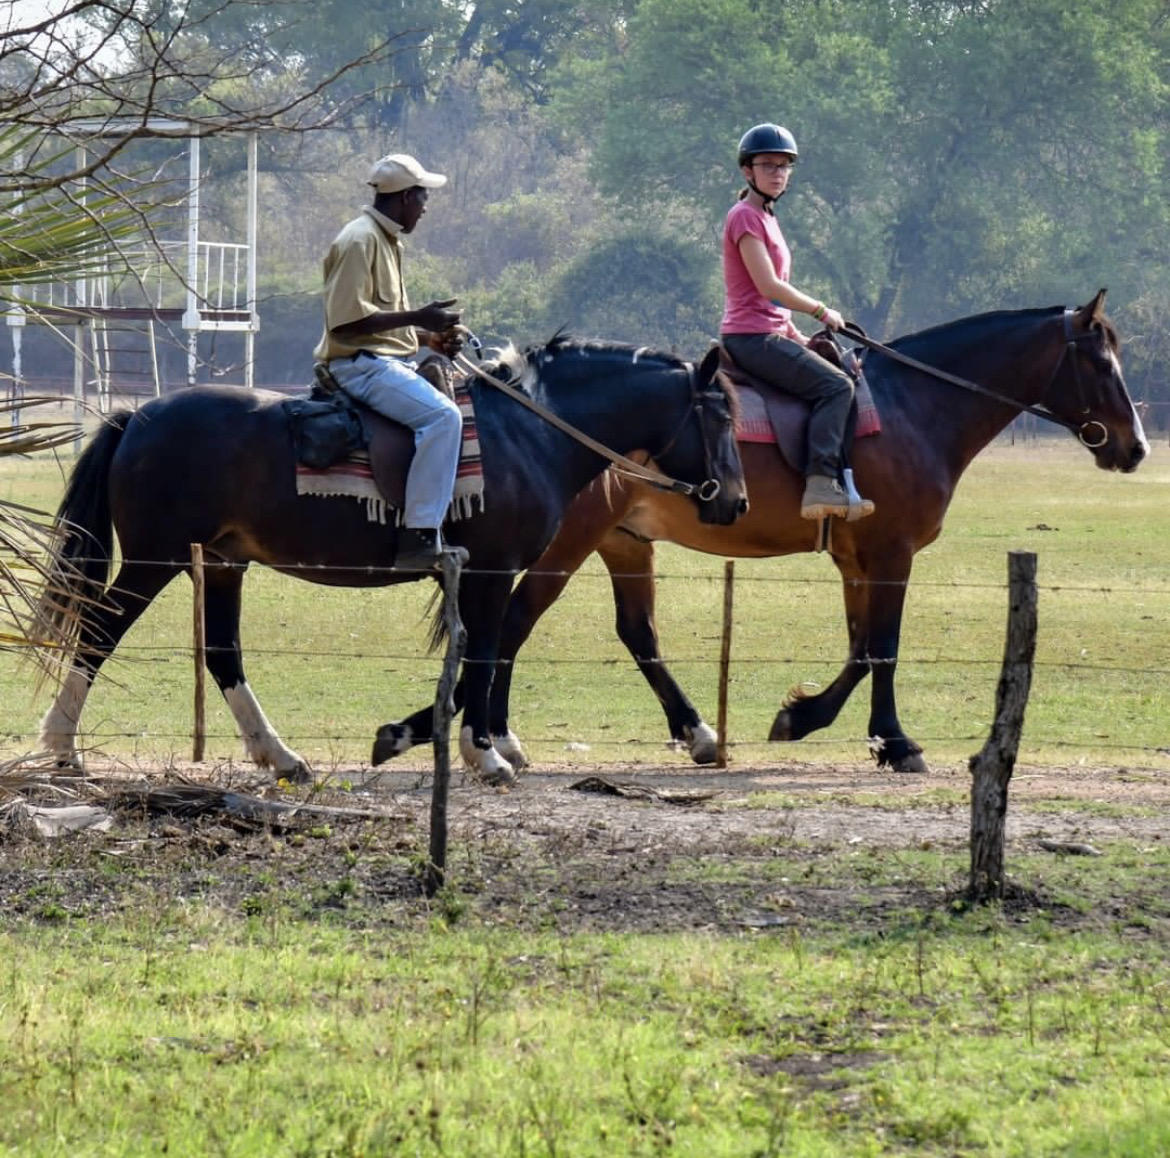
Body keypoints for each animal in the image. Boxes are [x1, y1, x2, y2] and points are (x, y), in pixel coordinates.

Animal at [34, 338, 748, 785]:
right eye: (719, 417)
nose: (735, 502)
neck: (529, 433)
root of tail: (137, 416)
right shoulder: (491, 571)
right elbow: (485, 655)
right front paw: (482, 754)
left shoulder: (484, 576)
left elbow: (480, 657)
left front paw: (436, 738)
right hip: (154, 559)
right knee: (99, 634)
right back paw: (61, 747)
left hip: (220, 564)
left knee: (221, 655)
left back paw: (281, 756)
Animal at [373, 293, 1148, 774]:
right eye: (1100, 362)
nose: (1135, 448)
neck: (915, 406)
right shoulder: (891, 554)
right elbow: (882, 649)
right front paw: (884, 740)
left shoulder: (858, 560)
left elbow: (861, 646)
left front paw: (823, 722)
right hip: (566, 544)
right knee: (512, 626)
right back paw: (473, 732)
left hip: (622, 543)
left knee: (626, 634)